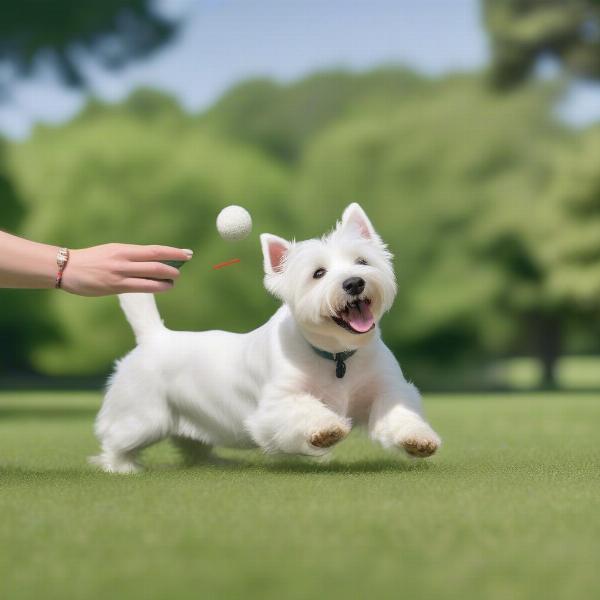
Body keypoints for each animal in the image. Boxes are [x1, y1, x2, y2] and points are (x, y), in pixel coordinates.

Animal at [92, 206, 440, 474]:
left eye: (362, 261)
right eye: (318, 273)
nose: (354, 283)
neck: (338, 356)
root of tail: (154, 335)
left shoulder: (386, 390)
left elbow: (399, 414)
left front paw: (418, 439)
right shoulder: (275, 405)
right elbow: (304, 409)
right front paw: (326, 430)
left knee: (192, 446)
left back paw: (218, 463)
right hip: (142, 416)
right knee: (115, 439)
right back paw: (120, 467)